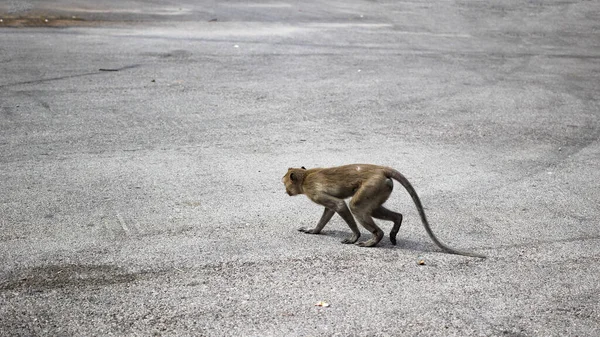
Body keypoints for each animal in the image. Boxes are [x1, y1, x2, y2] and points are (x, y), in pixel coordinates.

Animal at [284, 164, 486, 258]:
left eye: (285, 182)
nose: (285, 191)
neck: (306, 176)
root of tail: (381, 169)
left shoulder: (313, 191)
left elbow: (339, 205)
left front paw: (354, 236)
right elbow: (330, 210)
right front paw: (314, 230)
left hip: (373, 185)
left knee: (356, 207)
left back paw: (375, 238)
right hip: (382, 187)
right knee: (374, 210)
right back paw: (396, 222)